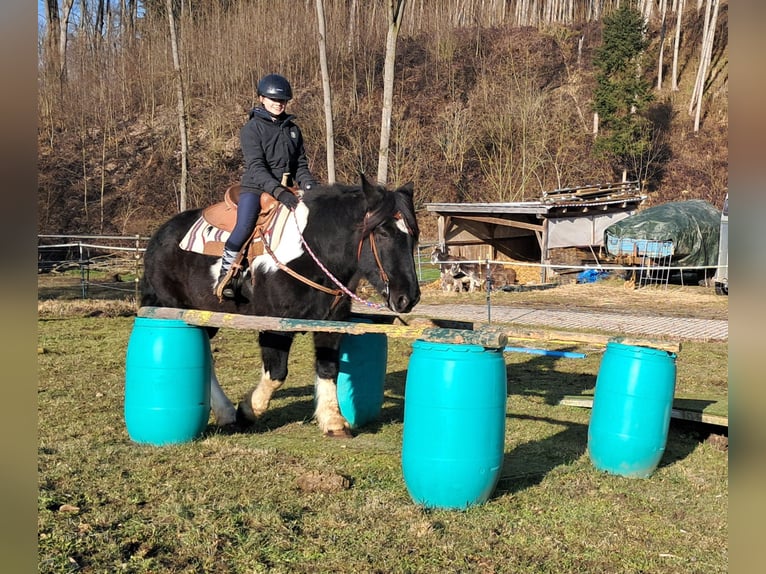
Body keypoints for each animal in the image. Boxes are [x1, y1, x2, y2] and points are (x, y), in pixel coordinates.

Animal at [141, 173, 424, 438]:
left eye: (413, 236)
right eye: (383, 232)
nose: (408, 298)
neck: (313, 252)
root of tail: (159, 236)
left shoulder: (331, 323)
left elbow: (328, 369)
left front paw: (333, 422)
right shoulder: (274, 326)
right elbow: (276, 373)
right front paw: (246, 412)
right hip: (180, 310)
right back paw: (228, 412)